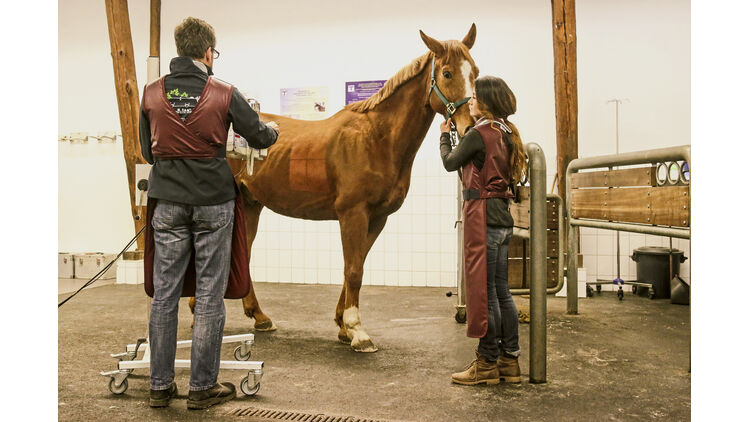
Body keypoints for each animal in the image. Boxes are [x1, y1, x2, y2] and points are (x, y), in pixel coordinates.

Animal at [220, 24, 478, 352]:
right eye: (446, 73)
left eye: (475, 73)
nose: (470, 126)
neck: (376, 138)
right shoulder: (353, 214)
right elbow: (354, 271)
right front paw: (358, 331)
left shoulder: (377, 218)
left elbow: (354, 266)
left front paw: (343, 326)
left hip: (251, 206)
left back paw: (260, 317)